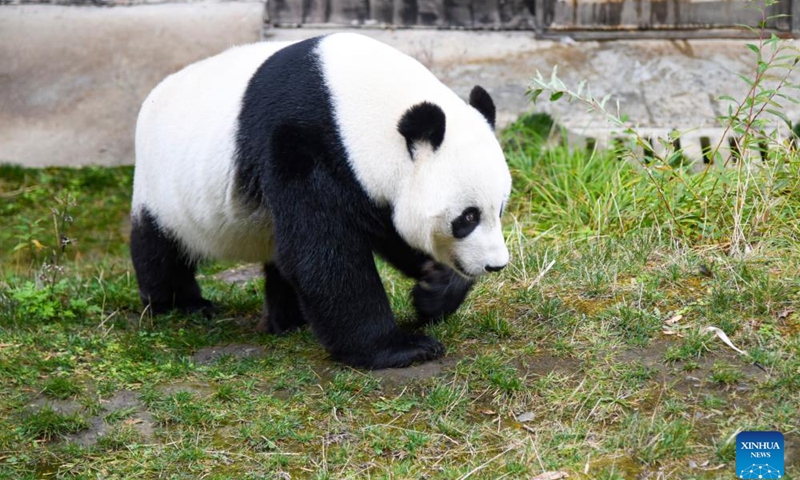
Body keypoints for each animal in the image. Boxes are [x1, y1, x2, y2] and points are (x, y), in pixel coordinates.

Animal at [129, 33, 510, 370]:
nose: (495, 265)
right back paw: (181, 305)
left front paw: (434, 290)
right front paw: (400, 348)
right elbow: (324, 251)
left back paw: (287, 320)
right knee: (160, 246)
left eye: (500, 209)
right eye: (467, 218)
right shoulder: (303, 142)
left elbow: (388, 232)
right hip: (163, 187)